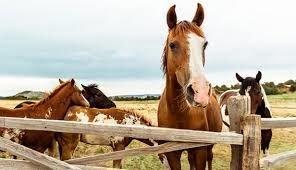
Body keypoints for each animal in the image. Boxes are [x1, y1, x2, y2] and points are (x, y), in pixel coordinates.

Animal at [157, 3, 222, 169]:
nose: (200, 92)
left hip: (209, 147)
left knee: (210, 157)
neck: (179, 113)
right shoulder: (172, 153)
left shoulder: (200, 150)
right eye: (172, 45)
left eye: (204, 45)